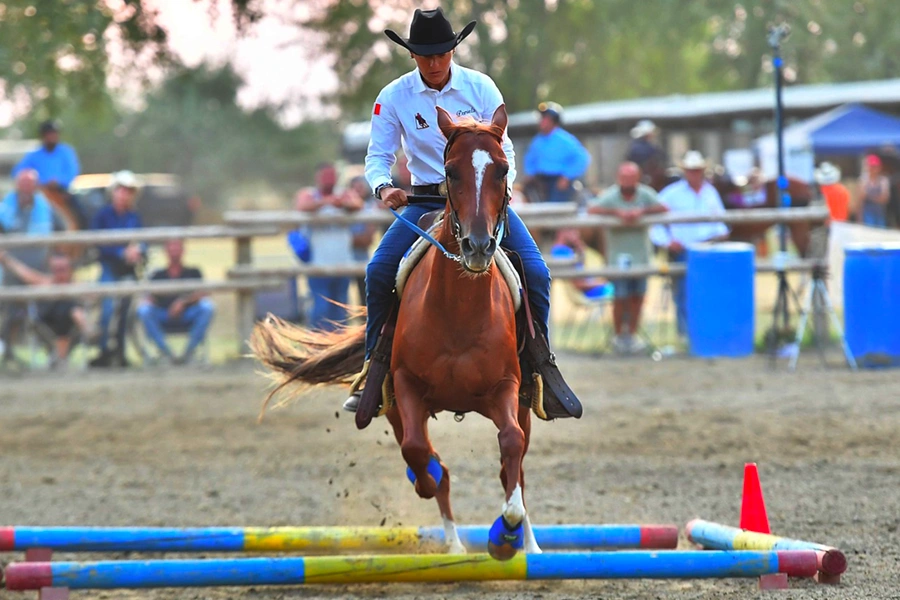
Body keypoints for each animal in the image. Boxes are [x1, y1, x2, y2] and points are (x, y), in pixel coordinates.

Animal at [250, 105, 536, 560]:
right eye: (451, 171)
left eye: (503, 169)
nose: (477, 247)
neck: (460, 312)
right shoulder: (404, 388)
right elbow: (421, 455)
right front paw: (431, 480)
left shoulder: (506, 387)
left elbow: (510, 445)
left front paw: (505, 534)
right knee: (432, 465)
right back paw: (453, 543)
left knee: (519, 462)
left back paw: (530, 546)